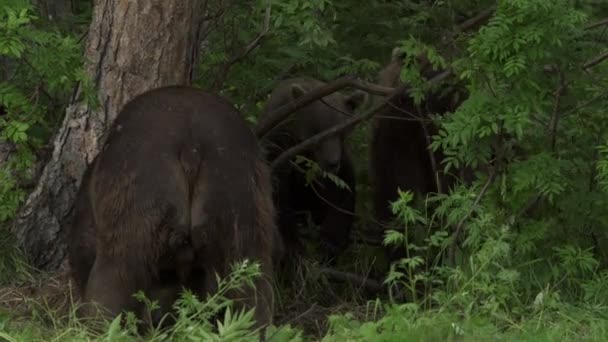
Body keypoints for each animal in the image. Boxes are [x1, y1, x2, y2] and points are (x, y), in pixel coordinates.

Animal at [255, 77, 366, 264]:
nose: (332, 162)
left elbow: (342, 191)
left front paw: (330, 243)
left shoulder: (341, 158)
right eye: (318, 131)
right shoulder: (280, 147)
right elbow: (279, 194)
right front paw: (293, 245)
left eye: (341, 131)